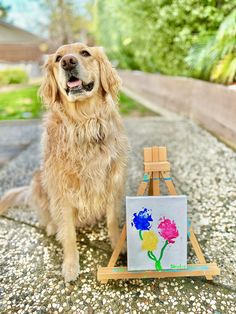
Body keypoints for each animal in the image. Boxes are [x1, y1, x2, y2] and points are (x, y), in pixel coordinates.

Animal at [0, 42, 128, 282]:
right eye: (58, 58)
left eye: (85, 53)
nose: (68, 62)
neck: (84, 124)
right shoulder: (62, 192)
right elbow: (68, 233)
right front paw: (70, 266)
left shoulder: (112, 182)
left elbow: (112, 220)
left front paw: (117, 244)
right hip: (38, 181)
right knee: (47, 216)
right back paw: (51, 226)